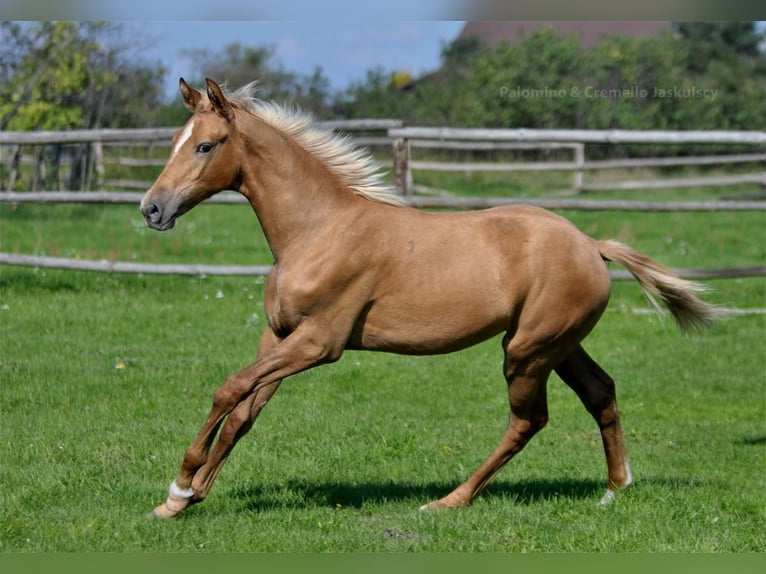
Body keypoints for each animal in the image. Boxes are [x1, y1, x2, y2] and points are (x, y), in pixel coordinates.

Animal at [140, 78, 717, 518]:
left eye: (205, 146)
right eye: (174, 141)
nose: (152, 208)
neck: (318, 230)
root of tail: (591, 245)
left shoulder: (319, 343)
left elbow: (229, 388)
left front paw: (179, 486)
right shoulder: (278, 335)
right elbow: (243, 411)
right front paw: (184, 500)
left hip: (526, 352)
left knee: (528, 421)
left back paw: (449, 501)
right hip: (559, 345)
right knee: (601, 393)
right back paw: (615, 489)